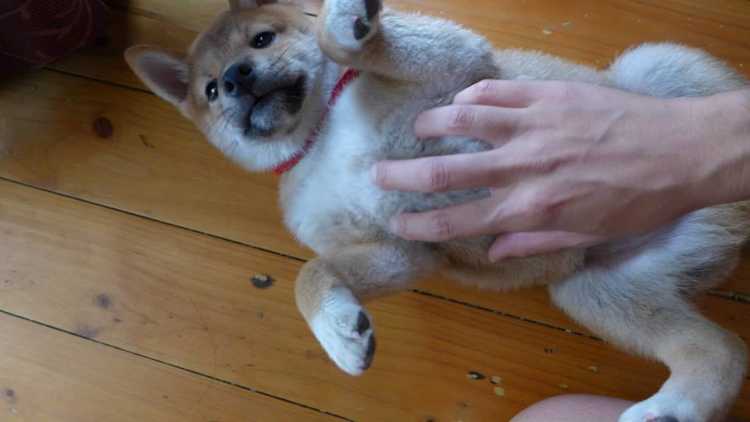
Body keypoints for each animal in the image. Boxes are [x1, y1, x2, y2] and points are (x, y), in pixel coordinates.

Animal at [126, 0, 748, 418]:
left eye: (261, 39)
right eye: (209, 91)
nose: (234, 79)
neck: (321, 131)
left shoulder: (457, 65)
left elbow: (343, 42)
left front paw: (345, 23)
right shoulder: (405, 249)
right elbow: (313, 273)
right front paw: (340, 332)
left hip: (651, 68)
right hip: (598, 290)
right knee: (722, 352)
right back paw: (673, 408)